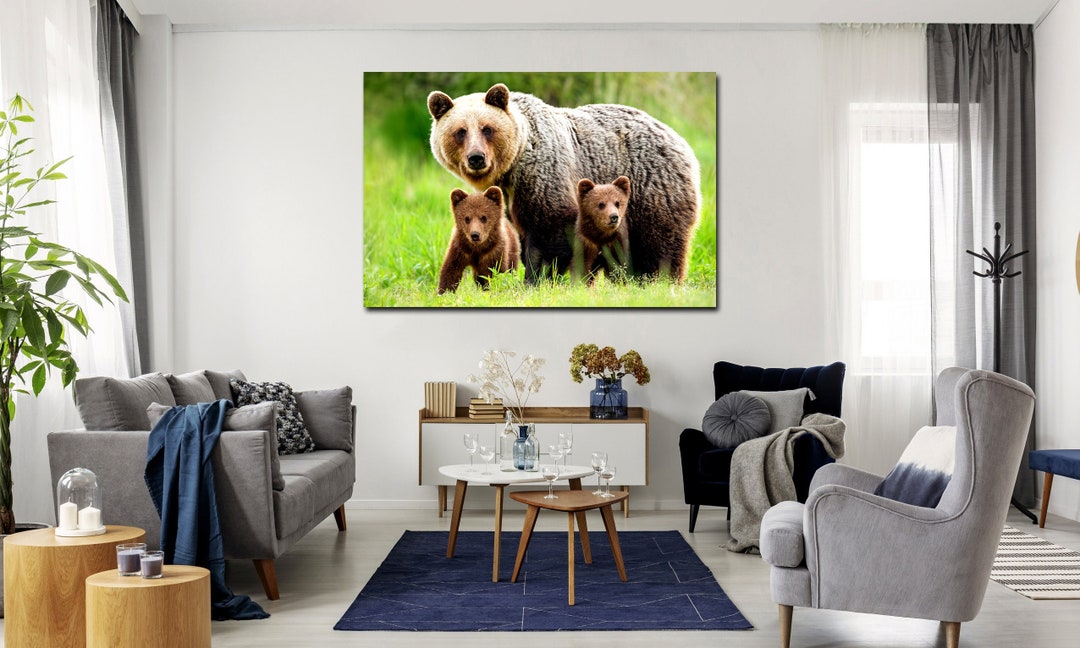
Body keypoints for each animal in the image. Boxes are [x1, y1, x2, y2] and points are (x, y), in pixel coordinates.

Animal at [427, 83, 701, 284]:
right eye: (460, 131)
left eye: (487, 129)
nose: (476, 158)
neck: (513, 168)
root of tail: (677, 137)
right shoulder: (512, 198)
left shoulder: (544, 177)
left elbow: (549, 231)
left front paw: (536, 280)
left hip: (651, 188)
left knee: (659, 243)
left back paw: (659, 280)